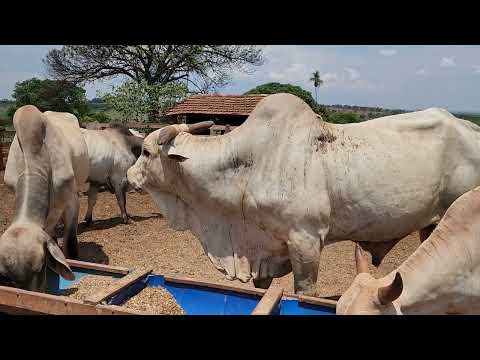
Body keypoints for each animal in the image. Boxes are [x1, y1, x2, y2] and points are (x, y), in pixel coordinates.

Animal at [128, 93, 480, 296]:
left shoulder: (306, 240)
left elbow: (304, 292)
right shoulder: (262, 250)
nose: (129, 176)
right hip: (430, 224)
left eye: (145, 152)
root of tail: (469, 127)